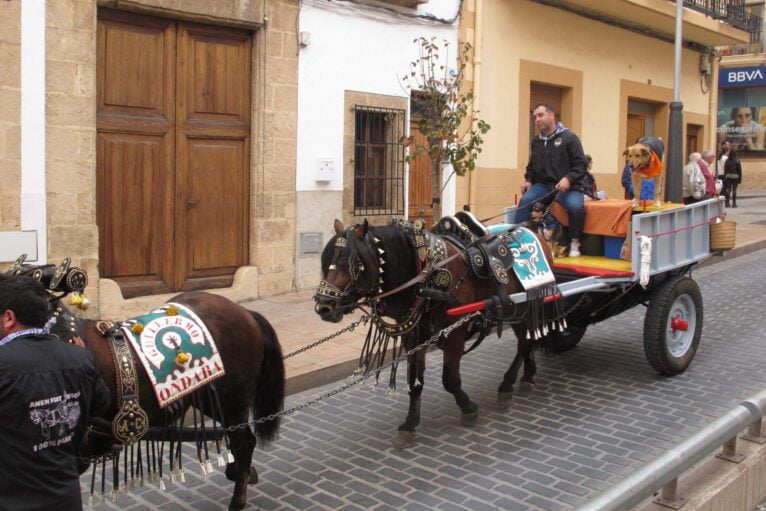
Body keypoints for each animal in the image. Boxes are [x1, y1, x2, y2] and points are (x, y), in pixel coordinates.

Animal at [316, 219, 560, 448]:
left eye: (354, 263)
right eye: (326, 260)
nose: (324, 307)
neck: (427, 277)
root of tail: (533, 228)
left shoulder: (455, 334)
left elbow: (450, 380)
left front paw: (468, 408)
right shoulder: (414, 337)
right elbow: (415, 381)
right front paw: (410, 424)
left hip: (525, 307)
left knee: (525, 343)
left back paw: (508, 383)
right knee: (529, 340)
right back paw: (527, 374)